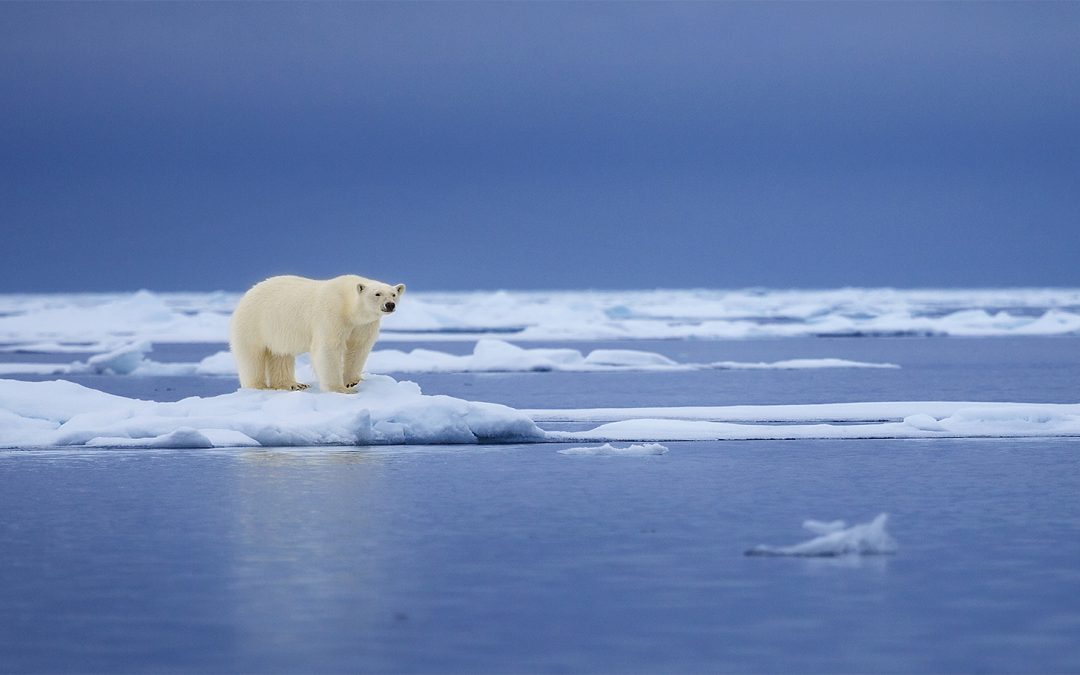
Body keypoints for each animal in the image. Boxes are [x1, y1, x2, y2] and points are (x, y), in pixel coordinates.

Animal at [229, 274, 405, 393]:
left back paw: (293, 384)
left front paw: (352, 382)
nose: (390, 305)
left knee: (281, 355)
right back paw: (259, 387)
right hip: (253, 323)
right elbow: (328, 348)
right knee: (252, 356)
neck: (348, 305)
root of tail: (248, 293)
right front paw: (340, 389)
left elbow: (358, 348)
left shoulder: (363, 325)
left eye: (394, 294)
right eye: (377, 293)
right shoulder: (332, 314)